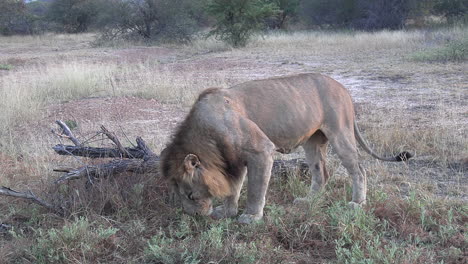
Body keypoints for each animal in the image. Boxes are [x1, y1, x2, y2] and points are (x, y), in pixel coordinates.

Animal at [159, 72, 412, 223]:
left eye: (190, 195)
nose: (193, 216)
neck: (205, 133)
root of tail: (343, 87)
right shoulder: (233, 160)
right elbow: (234, 188)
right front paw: (227, 212)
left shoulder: (261, 150)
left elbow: (255, 189)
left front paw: (251, 218)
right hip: (313, 142)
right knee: (322, 173)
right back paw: (309, 201)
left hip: (341, 132)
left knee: (359, 169)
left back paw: (357, 203)